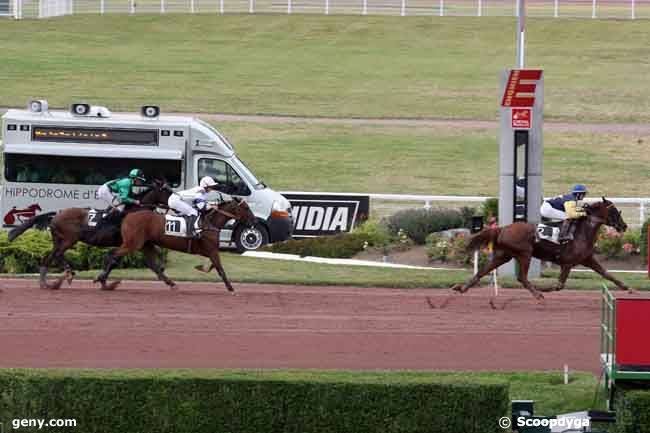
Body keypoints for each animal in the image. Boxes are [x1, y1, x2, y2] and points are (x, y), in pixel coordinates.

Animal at [8, 181, 171, 288]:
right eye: (167, 192)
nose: (174, 202)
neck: (134, 212)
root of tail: (56, 215)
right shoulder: (129, 243)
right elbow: (113, 261)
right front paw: (103, 280)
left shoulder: (134, 243)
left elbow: (157, 251)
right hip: (70, 239)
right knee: (58, 254)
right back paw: (68, 274)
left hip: (58, 240)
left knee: (48, 257)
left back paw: (48, 283)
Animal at [93, 197, 256, 292]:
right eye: (246, 208)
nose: (254, 221)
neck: (210, 223)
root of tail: (128, 215)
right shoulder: (212, 250)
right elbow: (220, 269)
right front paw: (230, 287)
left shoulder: (210, 251)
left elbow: (213, 267)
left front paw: (201, 268)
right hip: (133, 243)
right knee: (111, 255)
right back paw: (102, 280)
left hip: (145, 244)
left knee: (151, 264)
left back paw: (170, 283)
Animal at [450, 197, 628, 300]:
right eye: (614, 211)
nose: (624, 226)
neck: (582, 232)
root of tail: (503, 228)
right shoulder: (567, 263)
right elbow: (558, 286)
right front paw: (543, 289)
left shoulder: (588, 259)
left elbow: (607, 274)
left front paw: (627, 288)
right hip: (525, 254)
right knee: (521, 277)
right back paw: (537, 294)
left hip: (503, 255)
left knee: (482, 271)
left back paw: (462, 288)